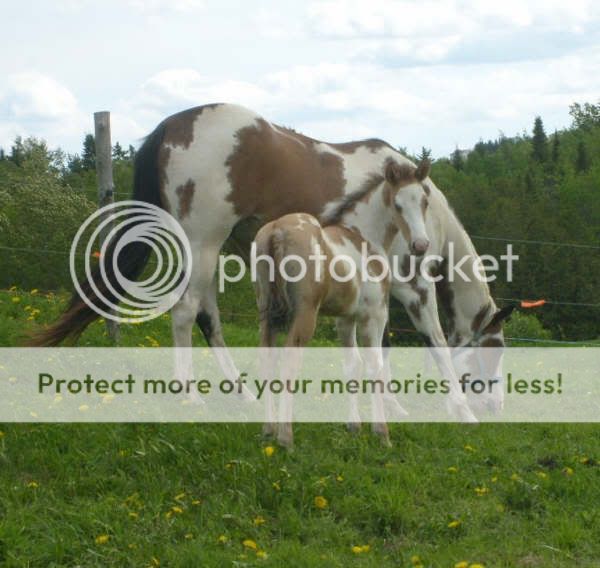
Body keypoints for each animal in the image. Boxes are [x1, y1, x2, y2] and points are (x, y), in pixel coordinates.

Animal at [31, 102, 510, 412]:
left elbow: (380, 343)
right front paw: (452, 404)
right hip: (203, 244)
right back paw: (189, 393)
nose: (496, 406)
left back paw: (242, 391)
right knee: (185, 312)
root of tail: (173, 125)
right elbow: (435, 338)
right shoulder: (412, 284)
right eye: (496, 351)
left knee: (207, 316)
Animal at [253, 158, 432, 446]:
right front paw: (382, 433)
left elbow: (352, 366)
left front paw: (354, 426)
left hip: (266, 311)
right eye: (398, 204)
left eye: (425, 200)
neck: (365, 237)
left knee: (266, 360)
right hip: (305, 314)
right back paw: (285, 436)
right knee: (289, 362)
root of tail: (277, 231)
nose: (420, 245)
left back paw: (268, 430)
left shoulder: (345, 319)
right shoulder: (374, 316)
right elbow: (375, 367)